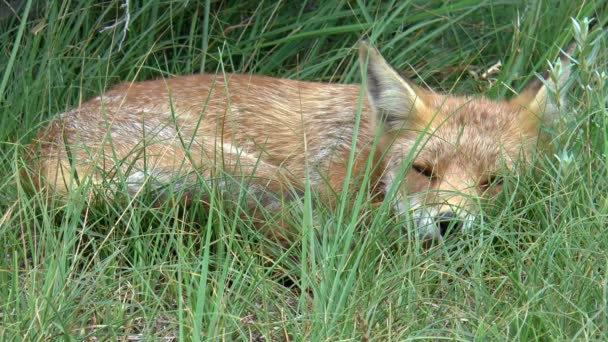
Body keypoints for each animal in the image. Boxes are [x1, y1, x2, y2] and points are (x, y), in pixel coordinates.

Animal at [26, 41, 568, 240]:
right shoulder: (325, 185)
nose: (450, 225)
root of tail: (35, 153)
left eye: (495, 182)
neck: (365, 150)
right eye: (423, 171)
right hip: (233, 163)